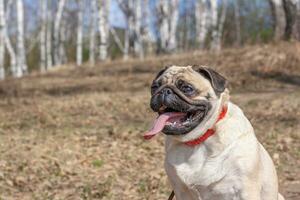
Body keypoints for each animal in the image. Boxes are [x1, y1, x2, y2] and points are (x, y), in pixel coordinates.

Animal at [144, 66, 284, 200]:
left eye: (187, 88)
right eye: (154, 87)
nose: (163, 91)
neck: (198, 140)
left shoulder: (246, 190)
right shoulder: (181, 191)